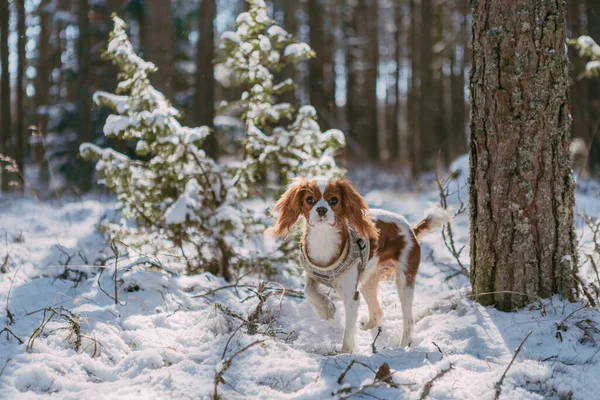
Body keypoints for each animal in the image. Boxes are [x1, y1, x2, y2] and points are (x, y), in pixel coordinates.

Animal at [268, 177, 450, 354]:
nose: (321, 210)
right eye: (309, 199)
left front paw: (345, 352)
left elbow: (348, 329)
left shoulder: (351, 294)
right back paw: (367, 328)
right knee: (378, 313)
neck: (324, 237)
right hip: (367, 281)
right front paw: (326, 310)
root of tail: (411, 229)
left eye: (334, 200)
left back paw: (402, 347)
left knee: (409, 320)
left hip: (404, 280)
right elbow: (308, 291)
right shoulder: (311, 274)